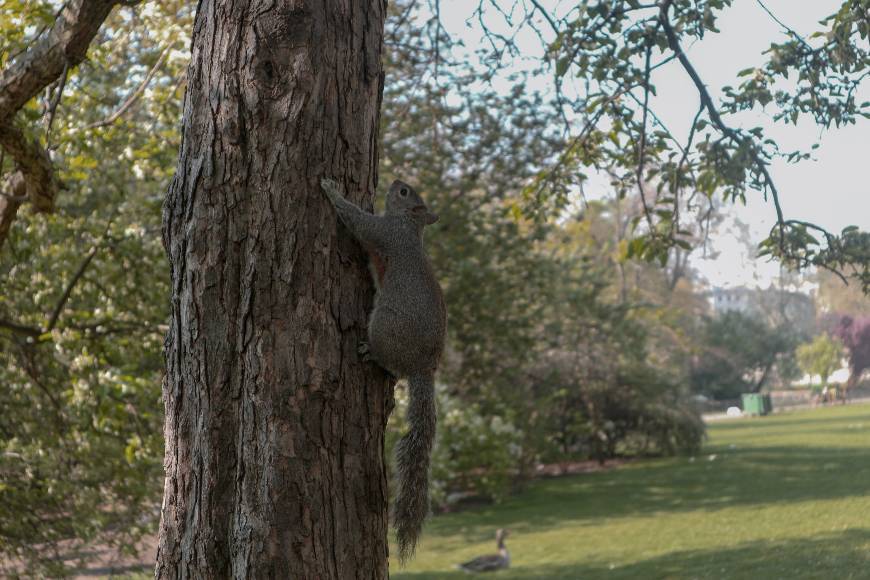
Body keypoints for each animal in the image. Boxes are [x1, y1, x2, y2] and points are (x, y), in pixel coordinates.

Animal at [322, 176, 450, 560]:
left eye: (405, 193)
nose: (394, 181)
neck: (408, 225)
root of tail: (426, 366)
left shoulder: (383, 232)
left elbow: (357, 220)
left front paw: (330, 188)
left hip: (382, 326)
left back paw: (370, 353)